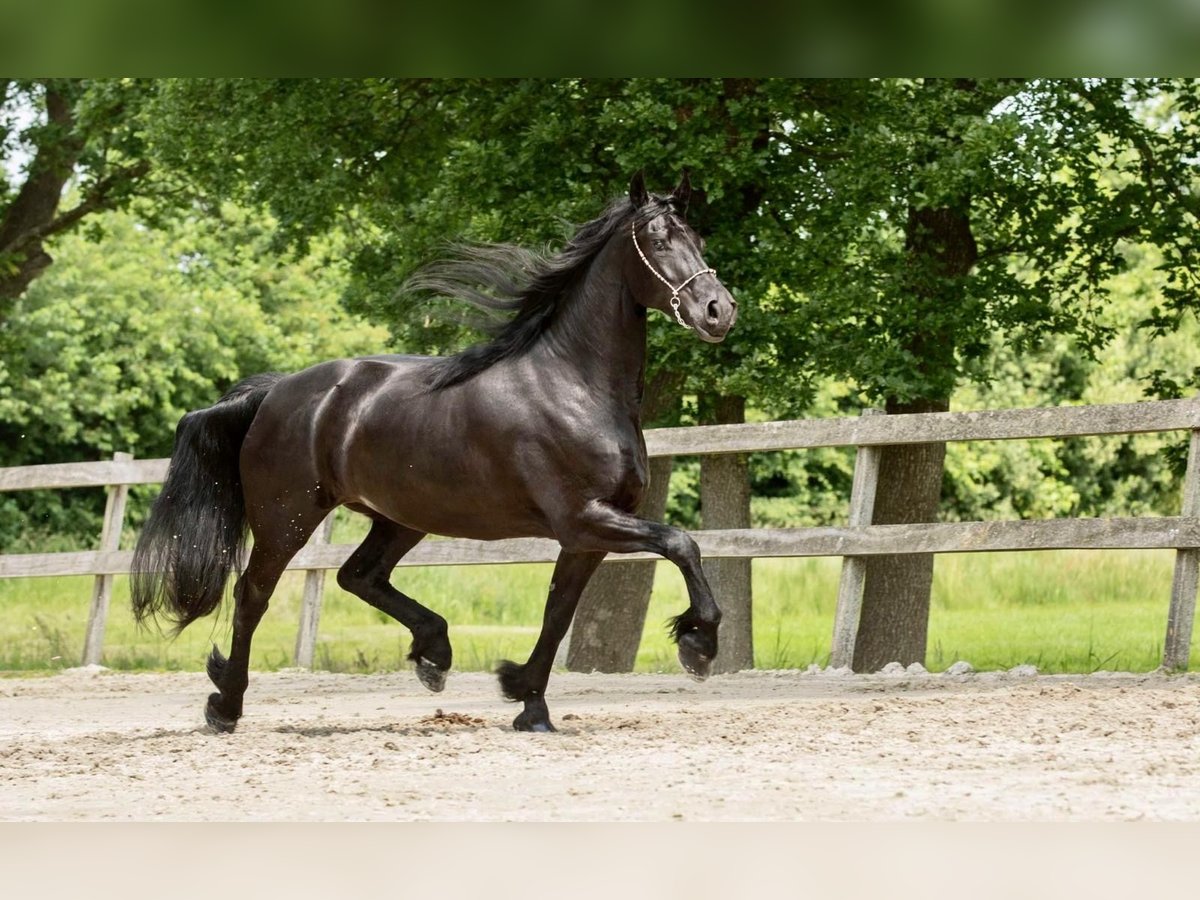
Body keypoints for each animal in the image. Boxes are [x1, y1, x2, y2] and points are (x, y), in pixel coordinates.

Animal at [129, 174, 729, 734]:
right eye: (657, 240)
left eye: (698, 238)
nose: (719, 311)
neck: (575, 386)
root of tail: (275, 392)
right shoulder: (583, 519)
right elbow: (681, 543)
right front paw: (697, 644)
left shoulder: (586, 535)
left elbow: (558, 613)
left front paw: (527, 702)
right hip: (287, 517)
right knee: (253, 595)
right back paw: (225, 706)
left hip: (401, 516)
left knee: (358, 576)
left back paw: (434, 653)